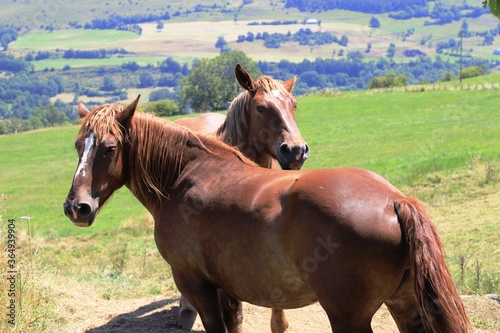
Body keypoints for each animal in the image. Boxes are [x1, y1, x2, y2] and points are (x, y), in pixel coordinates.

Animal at [64, 97, 470, 332]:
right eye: (78, 145)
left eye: (109, 148)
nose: (76, 207)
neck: (188, 176)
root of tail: (393, 199)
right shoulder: (227, 290)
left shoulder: (197, 285)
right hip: (405, 306)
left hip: (349, 317)